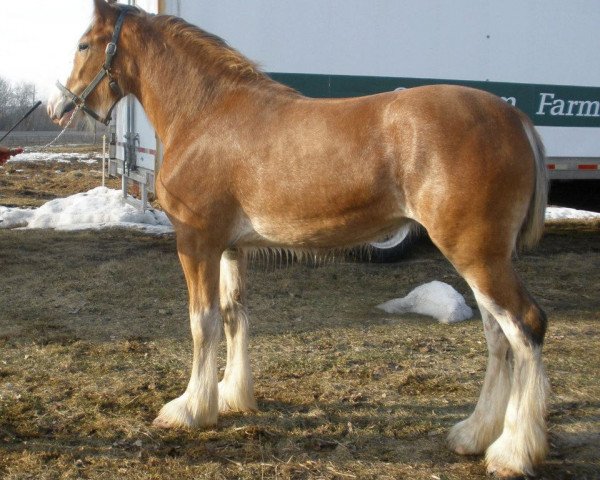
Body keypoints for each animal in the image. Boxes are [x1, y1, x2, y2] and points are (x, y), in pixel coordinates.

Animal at [50, 2, 548, 476]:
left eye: (83, 45)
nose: (59, 107)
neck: (206, 113)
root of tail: (515, 117)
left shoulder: (196, 242)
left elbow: (202, 321)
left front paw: (190, 409)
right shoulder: (232, 248)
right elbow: (233, 315)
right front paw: (232, 396)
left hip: (476, 255)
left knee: (525, 327)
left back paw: (511, 453)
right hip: (480, 258)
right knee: (497, 336)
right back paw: (473, 435)